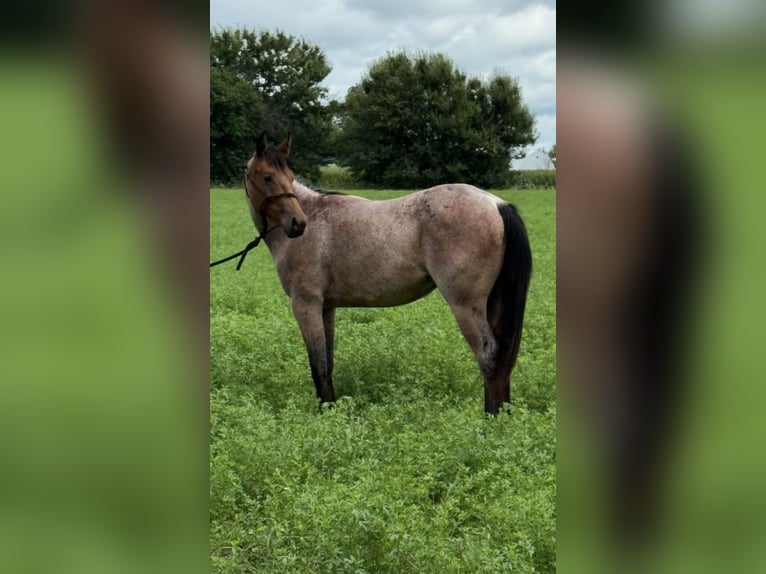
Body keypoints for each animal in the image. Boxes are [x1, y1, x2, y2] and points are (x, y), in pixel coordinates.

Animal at [241, 133, 532, 414]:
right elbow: (328, 362)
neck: (314, 217)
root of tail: (496, 203)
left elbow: (318, 366)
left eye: (288, 177)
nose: (298, 224)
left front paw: (324, 414)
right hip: (493, 304)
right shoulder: (326, 308)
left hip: (466, 306)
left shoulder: (306, 305)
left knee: (489, 359)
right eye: (268, 177)